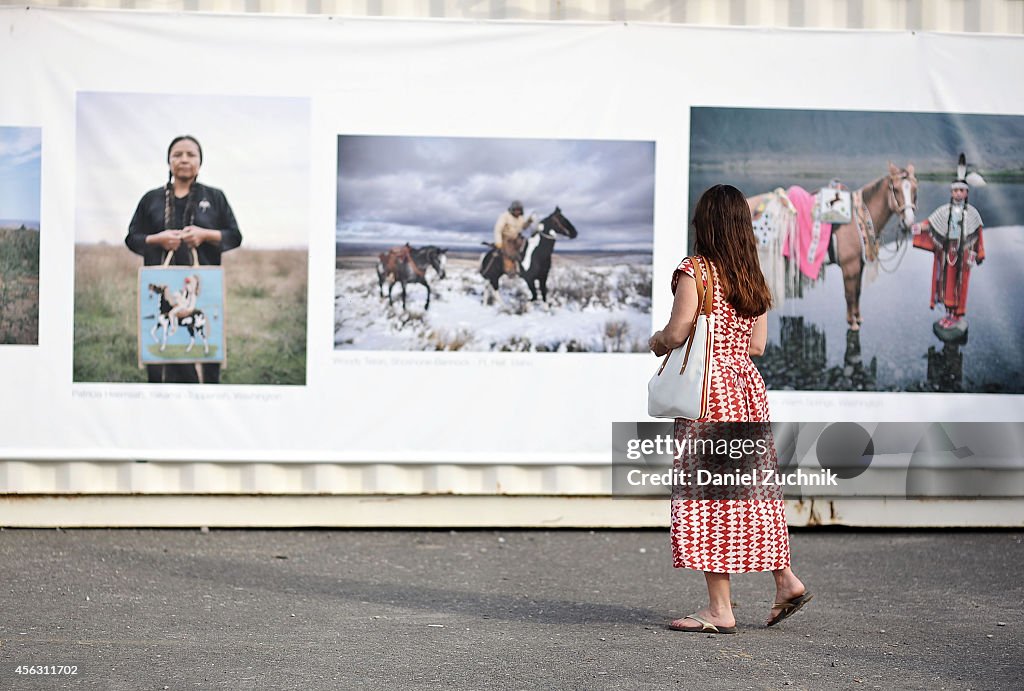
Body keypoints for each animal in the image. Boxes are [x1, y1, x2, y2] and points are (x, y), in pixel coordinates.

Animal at [745, 164, 921, 331]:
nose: (908, 222)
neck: (857, 221)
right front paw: (852, 322)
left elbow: (857, 292)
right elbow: (849, 295)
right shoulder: (849, 267)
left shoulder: (858, 265)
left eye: (915, 189)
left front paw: (858, 317)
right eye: (895, 189)